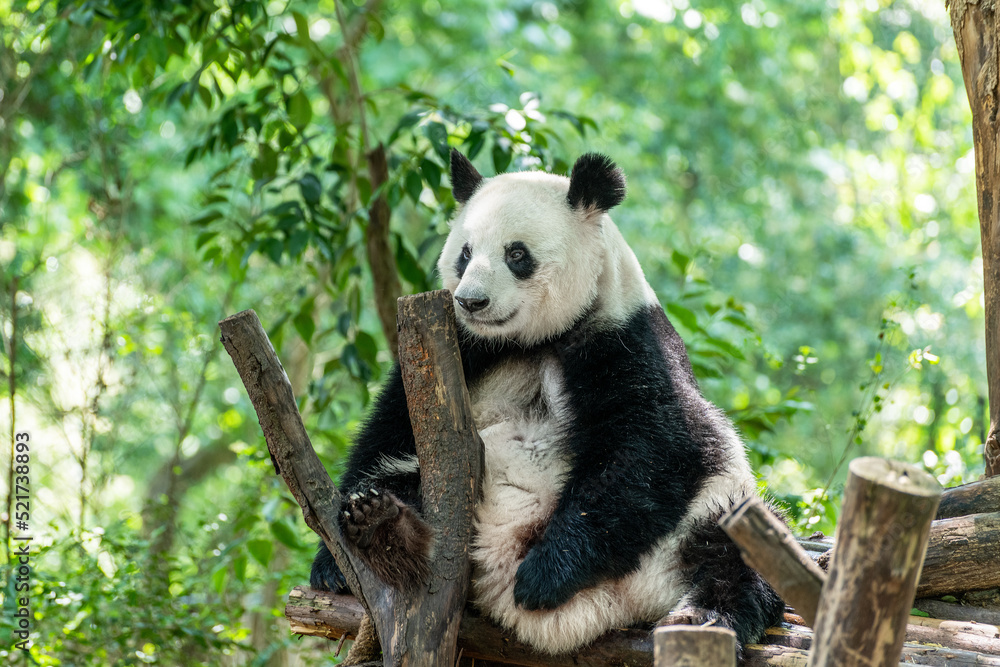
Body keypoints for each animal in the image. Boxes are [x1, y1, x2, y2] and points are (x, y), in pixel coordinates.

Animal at [308, 150, 784, 656]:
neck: (530, 340)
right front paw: (333, 561)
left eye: (517, 254)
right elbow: (388, 430)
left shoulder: (625, 338)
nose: (471, 302)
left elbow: (661, 446)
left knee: (736, 552)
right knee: (405, 480)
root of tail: (608, 609)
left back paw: (703, 616)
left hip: (700, 521)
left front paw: (544, 575)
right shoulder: (458, 350)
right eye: (465, 253)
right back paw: (382, 524)